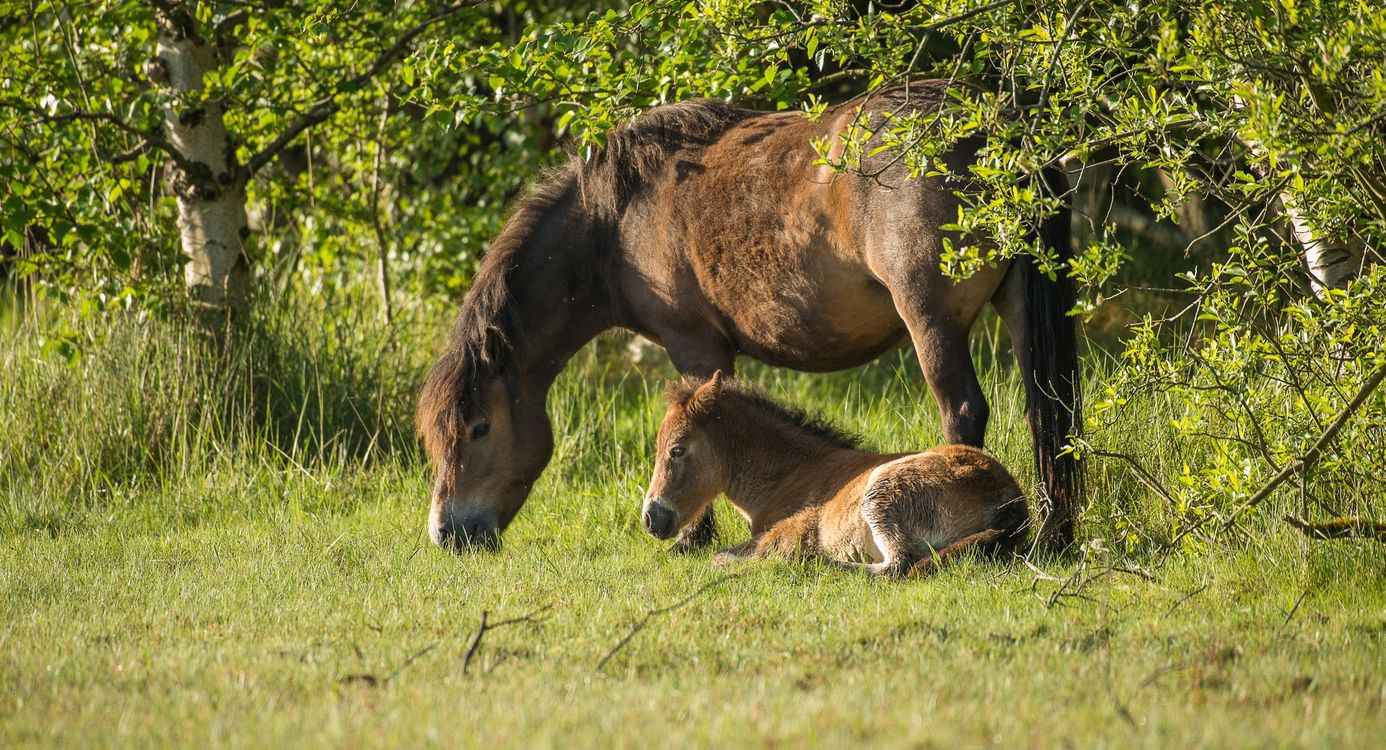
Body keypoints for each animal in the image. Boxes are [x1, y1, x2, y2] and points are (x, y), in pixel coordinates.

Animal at [417, 80, 1081, 553]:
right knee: (1049, 413)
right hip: (1020, 312)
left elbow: (695, 422)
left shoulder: (694, 345)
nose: (447, 533)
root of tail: (1004, 127)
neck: (617, 221)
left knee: (963, 410)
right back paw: (1055, 537)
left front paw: (690, 536)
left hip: (931, 321)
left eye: (479, 428)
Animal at [641, 372, 1029, 577]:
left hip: (881, 492)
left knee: (896, 565)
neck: (789, 474)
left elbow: (724, 556)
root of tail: (1012, 499)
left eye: (677, 450)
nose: (650, 518)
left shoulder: (787, 529)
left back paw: (824, 564)